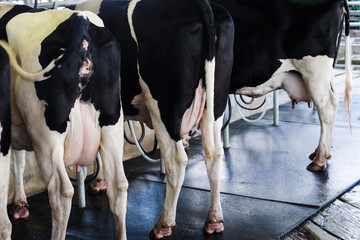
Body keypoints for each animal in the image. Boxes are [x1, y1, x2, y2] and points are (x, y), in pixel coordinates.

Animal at [0, 4, 127, 240]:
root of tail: (80, 19)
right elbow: (18, 163)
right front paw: (20, 203)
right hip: (112, 124)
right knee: (119, 186)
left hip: (45, 135)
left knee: (61, 192)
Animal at [74, 0, 235, 237]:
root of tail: (198, 4)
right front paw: (100, 180)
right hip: (216, 102)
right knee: (213, 154)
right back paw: (214, 220)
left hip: (164, 106)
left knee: (176, 160)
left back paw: (163, 224)